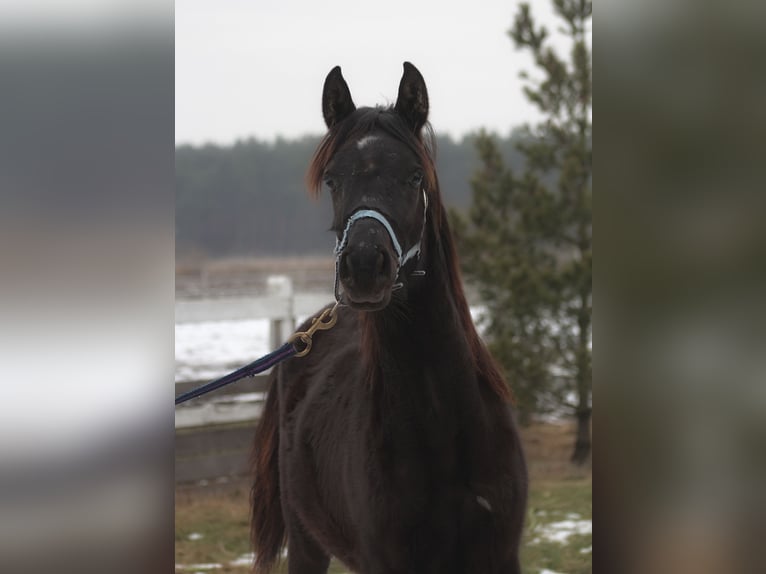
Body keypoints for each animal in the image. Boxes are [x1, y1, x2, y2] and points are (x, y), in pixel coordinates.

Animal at [252, 63, 528, 574]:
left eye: (414, 175)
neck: (443, 431)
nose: (364, 266)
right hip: (306, 541)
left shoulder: (500, 557)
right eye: (333, 179)